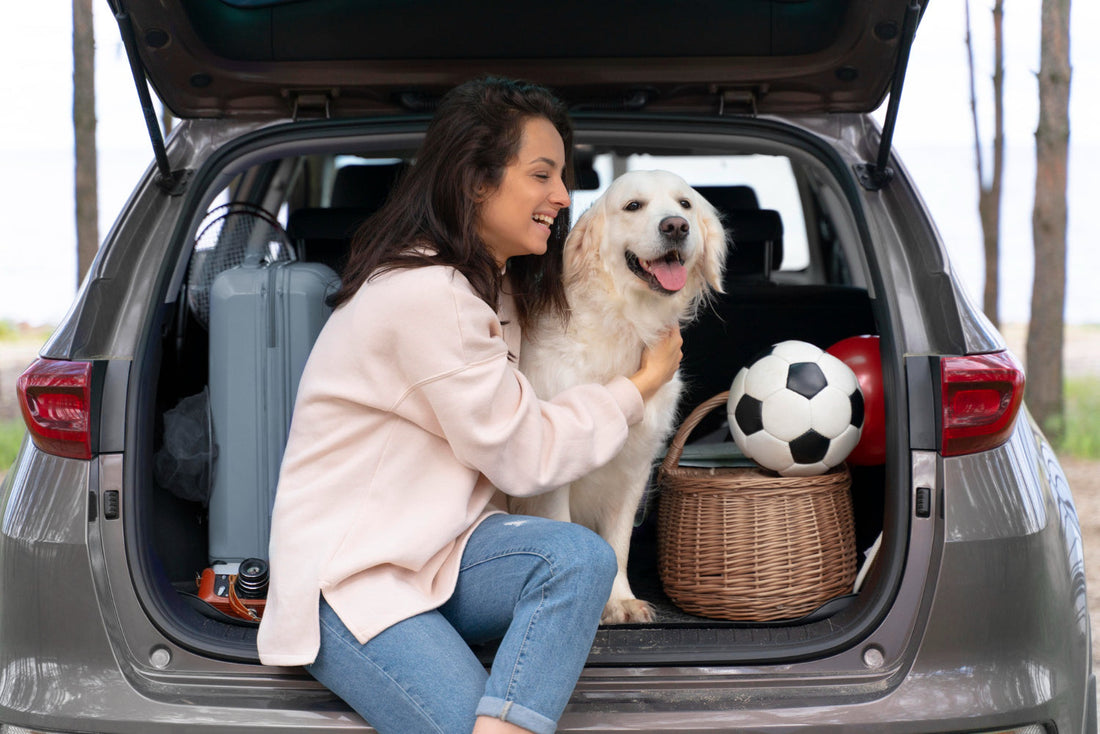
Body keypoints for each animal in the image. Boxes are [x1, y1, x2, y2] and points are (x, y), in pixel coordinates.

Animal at [508, 172, 730, 625]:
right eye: (633, 206)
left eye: (685, 204)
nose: (675, 226)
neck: (628, 322)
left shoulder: (634, 469)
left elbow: (619, 543)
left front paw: (619, 600)